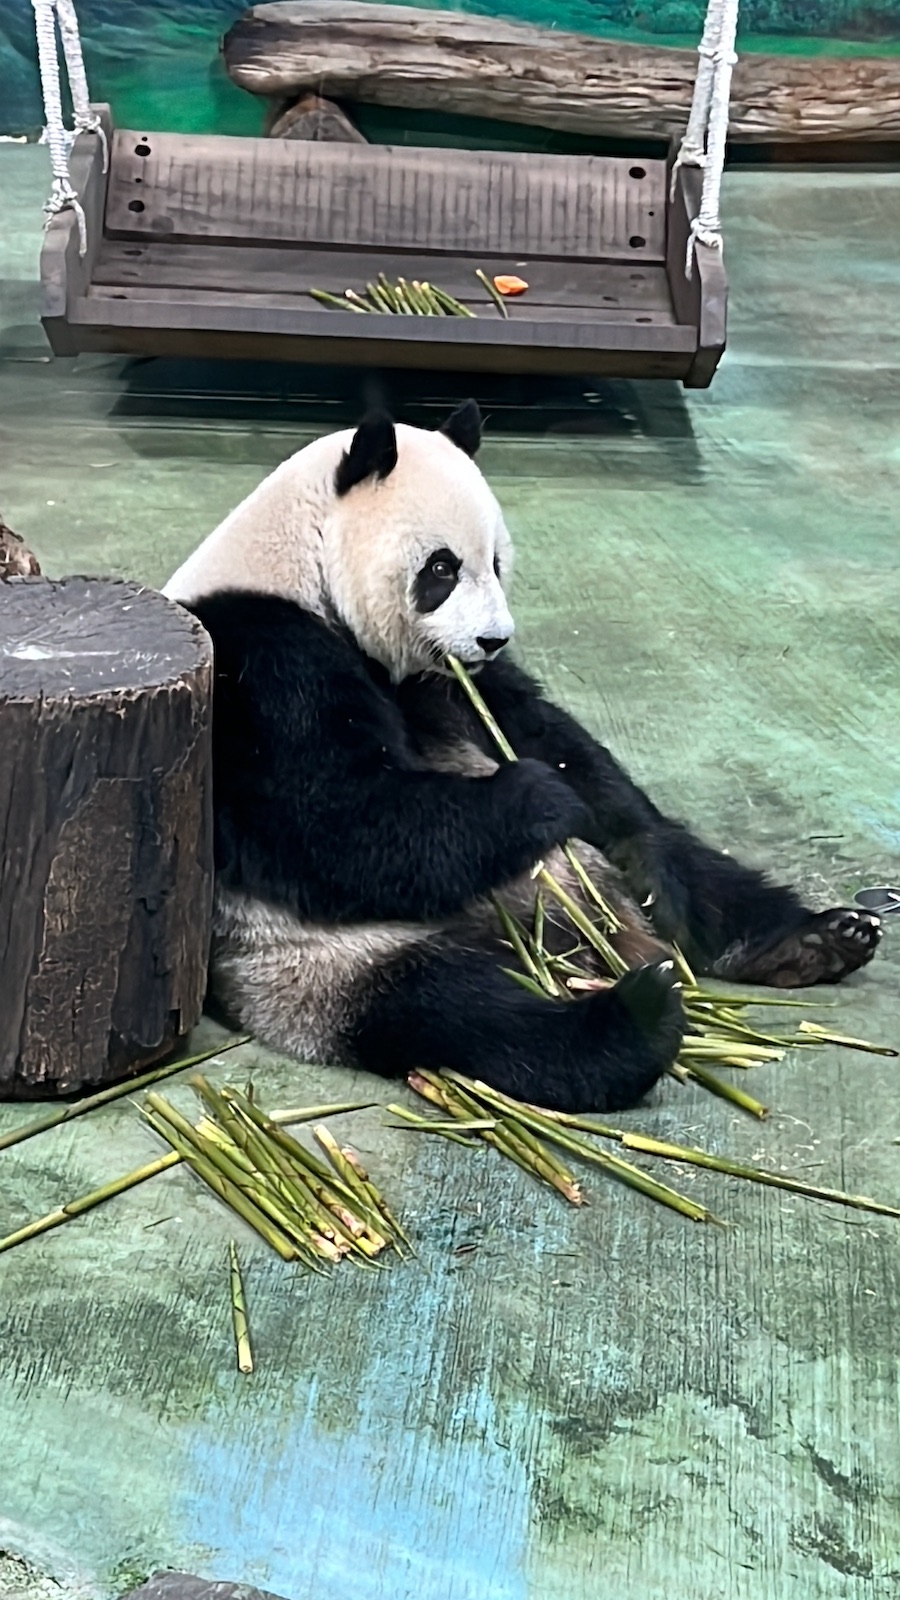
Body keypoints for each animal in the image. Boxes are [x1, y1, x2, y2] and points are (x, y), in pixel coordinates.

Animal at [164, 400, 877, 1113]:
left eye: (498, 564)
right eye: (442, 568)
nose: (493, 639)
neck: (297, 565)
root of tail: (585, 947)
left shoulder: (447, 681)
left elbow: (541, 732)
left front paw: (576, 795)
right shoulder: (261, 657)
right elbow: (332, 820)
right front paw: (539, 797)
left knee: (697, 871)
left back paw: (812, 939)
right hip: (322, 963)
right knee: (457, 1009)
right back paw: (636, 1017)